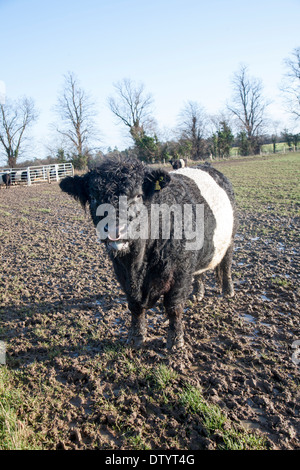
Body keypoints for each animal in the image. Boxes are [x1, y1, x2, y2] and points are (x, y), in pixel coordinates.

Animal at [59, 156, 237, 350]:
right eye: (93, 197)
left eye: (138, 195)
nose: (115, 229)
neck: (138, 265)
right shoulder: (123, 274)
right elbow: (135, 306)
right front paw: (136, 337)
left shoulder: (180, 271)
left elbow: (173, 307)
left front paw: (176, 341)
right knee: (200, 273)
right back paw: (198, 293)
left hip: (230, 239)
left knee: (226, 265)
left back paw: (228, 291)